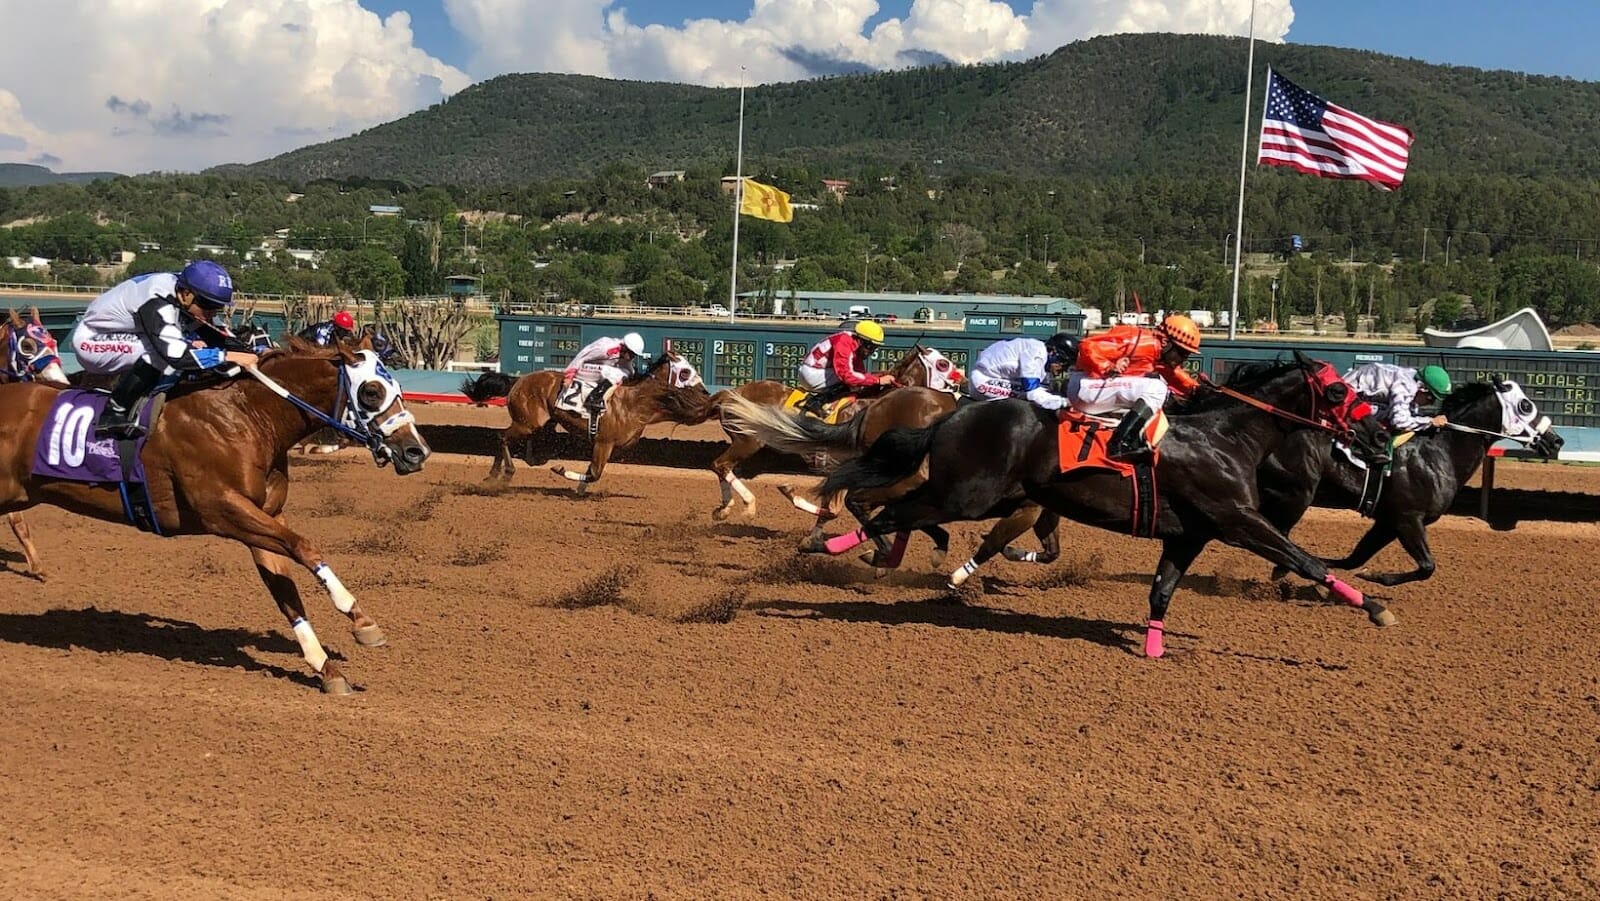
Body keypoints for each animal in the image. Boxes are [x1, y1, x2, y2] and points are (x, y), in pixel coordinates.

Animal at [0, 334, 431, 694]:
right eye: (371, 391)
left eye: (397, 389)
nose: (417, 451)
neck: (249, 416)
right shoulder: (222, 508)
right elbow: (305, 548)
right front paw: (361, 620)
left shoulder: (263, 516)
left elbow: (286, 590)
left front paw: (327, 668)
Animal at [459, 351, 712, 493]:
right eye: (686, 371)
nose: (705, 391)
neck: (635, 402)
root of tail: (517, 381)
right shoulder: (603, 442)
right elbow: (595, 472)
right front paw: (562, 471)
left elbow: (592, 472)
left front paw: (578, 487)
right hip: (527, 423)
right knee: (501, 436)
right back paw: (502, 474)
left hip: (542, 426)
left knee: (523, 450)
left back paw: (494, 475)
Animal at [802, 353, 1393, 658]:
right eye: (1338, 392)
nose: (1379, 433)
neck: (1225, 438)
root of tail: (950, 414)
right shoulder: (1237, 520)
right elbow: (1304, 559)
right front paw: (1374, 607)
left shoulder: (1189, 534)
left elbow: (1161, 591)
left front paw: (1154, 646)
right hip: (966, 495)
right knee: (889, 508)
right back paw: (835, 545)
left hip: (978, 495)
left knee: (896, 509)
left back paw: (865, 549)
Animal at [1260, 376, 1564, 586]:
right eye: (1525, 405)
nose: (1556, 441)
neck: (1441, 451)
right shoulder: (1408, 518)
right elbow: (1428, 566)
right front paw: (1377, 577)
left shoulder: (1387, 522)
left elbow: (1353, 560)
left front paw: (1363, 575)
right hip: (1297, 494)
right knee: (1277, 529)